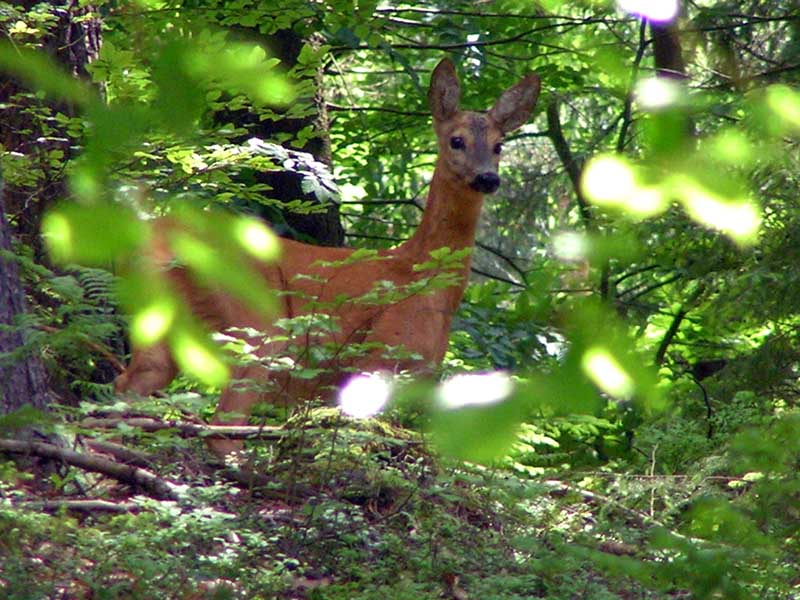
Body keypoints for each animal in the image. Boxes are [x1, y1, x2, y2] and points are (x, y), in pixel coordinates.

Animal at [115, 61, 540, 454]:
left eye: (499, 145)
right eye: (456, 140)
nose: (488, 178)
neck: (424, 276)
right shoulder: (378, 356)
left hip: (162, 313)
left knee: (131, 382)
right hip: (257, 317)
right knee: (223, 423)